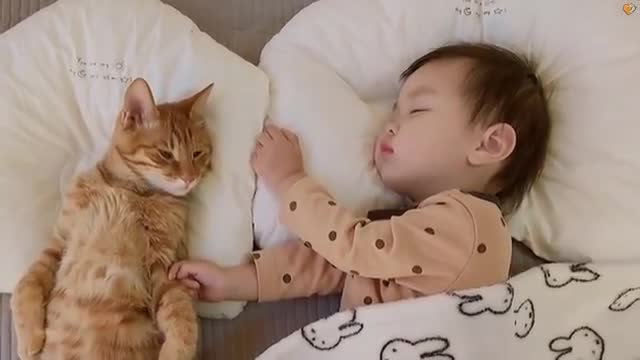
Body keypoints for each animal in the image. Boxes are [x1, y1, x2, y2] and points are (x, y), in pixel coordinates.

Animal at [10, 77, 215, 358]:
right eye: (165, 154)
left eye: (197, 154)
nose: (190, 178)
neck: (129, 191)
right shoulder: (59, 243)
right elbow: (26, 284)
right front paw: (29, 339)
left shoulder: (163, 264)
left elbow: (181, 316)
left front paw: (175, 351)